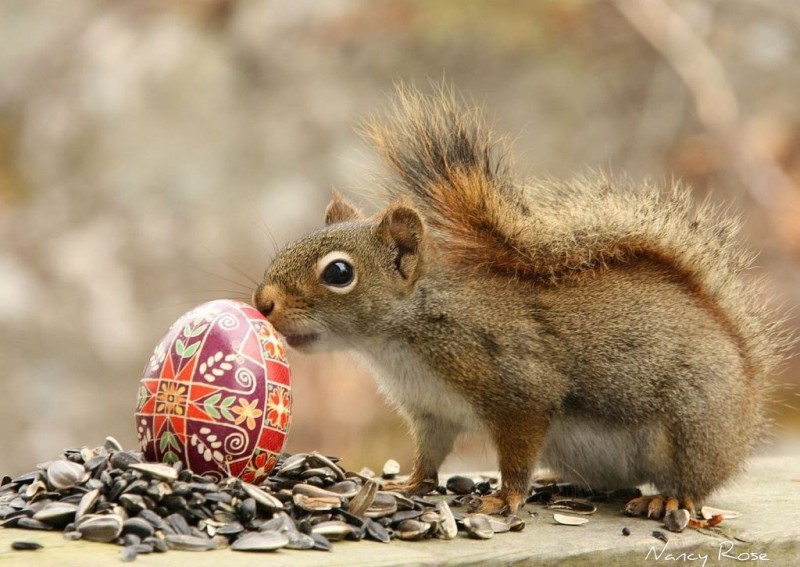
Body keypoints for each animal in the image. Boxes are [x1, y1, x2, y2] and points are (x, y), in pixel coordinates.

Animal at [256, 86, 788, 516]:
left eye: (339, 273)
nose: (263, 303)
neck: (404, 336)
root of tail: (748, 395)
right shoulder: (431, 411)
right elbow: (429, 455)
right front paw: (408, 485)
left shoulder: (518, 390)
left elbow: (517, 449)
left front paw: (504, 497)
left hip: (691, 428)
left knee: (694, 481)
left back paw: (670, 499)